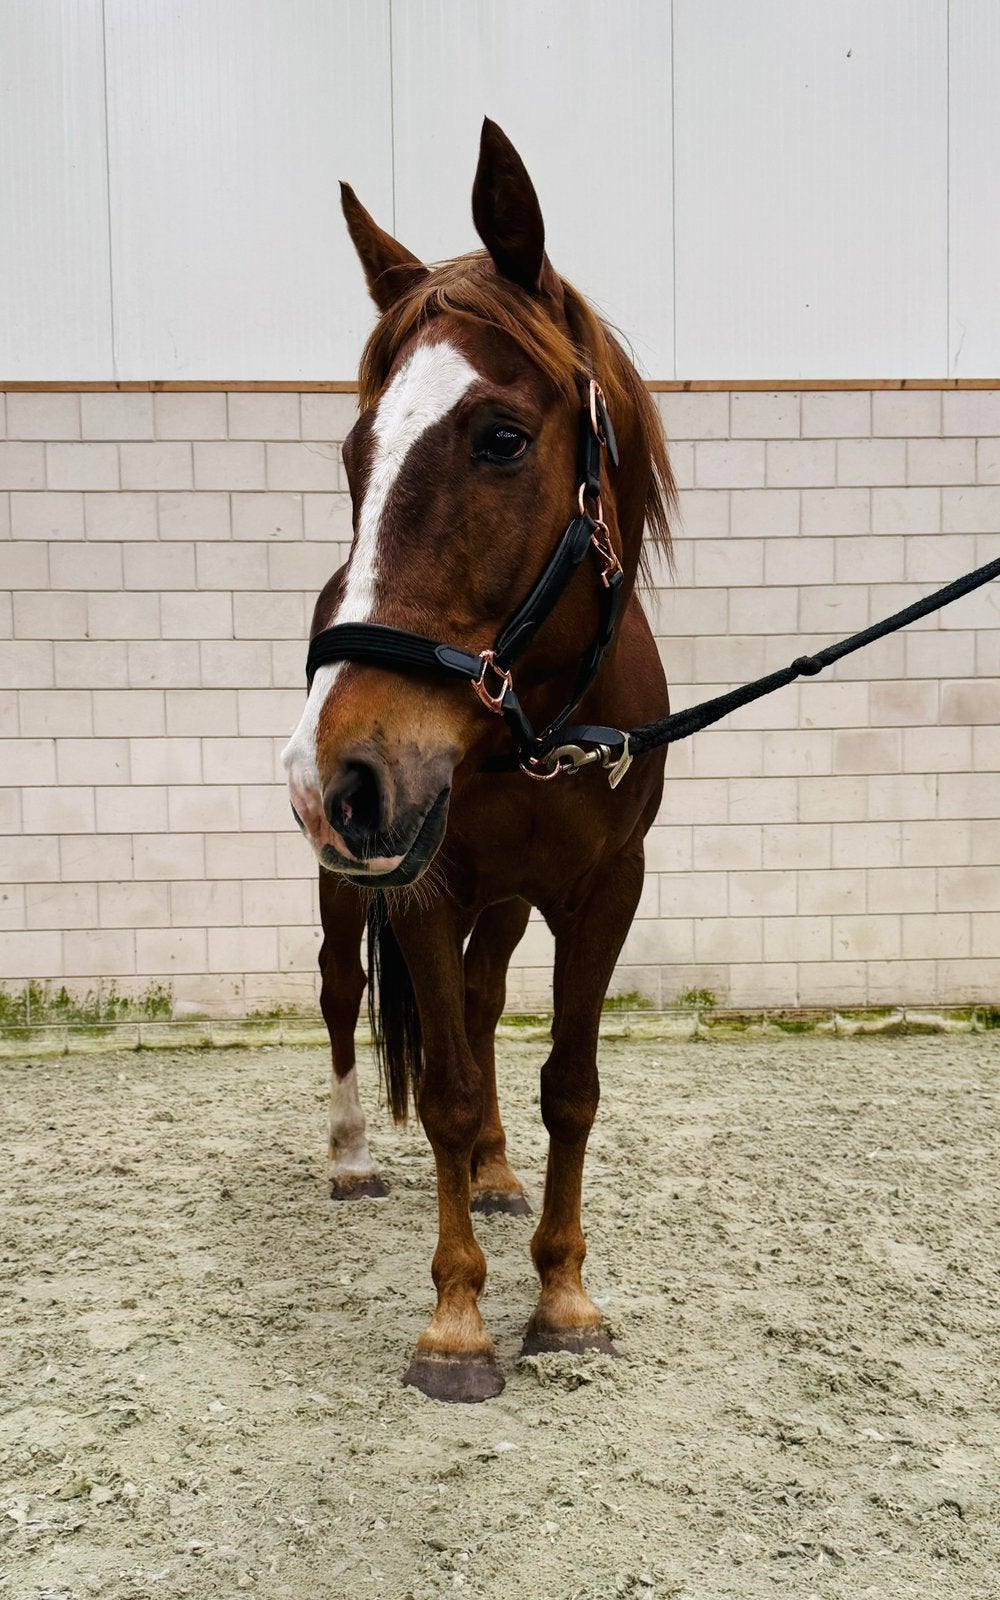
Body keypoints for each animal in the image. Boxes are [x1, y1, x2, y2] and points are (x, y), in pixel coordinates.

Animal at [282, 119, 675, 1402]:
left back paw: (498, 1180)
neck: (539, 725)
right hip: (347, 878)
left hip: (498, 897)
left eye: (500, 438)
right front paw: (455, 1321)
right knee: (342, 991)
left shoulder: (603, 889)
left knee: (485, 992)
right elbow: (446, 1090)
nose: (336, 776)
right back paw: (352, 1155)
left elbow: (569, 1086)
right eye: (354, 451)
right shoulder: (420, 881)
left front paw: (562, 1297)